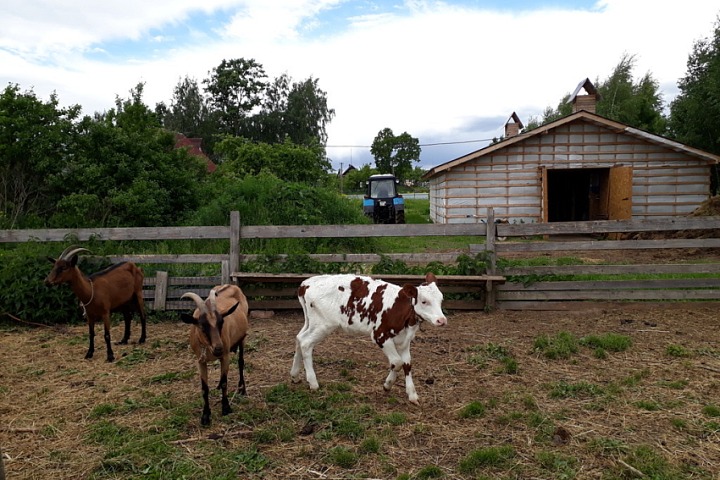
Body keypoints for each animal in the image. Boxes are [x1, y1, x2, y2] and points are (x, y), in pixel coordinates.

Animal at [180, 284, 250, 426]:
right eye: (202, 326)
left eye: (221, 322)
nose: (218, 348)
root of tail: (232, 285)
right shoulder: (200, 361)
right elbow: (204, 388)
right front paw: (205, 415)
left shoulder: (225, 356)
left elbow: (224, 382)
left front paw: (226, 407)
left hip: (242, 338)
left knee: (241, 362)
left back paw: (242, 389)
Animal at [292, 272, 444, 404]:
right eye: (424, 301)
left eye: (441, 299)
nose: (442, 320)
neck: (401, 310)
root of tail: (305, 284)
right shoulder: (379, 335)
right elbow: (397, 362)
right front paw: (387, 385)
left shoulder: (404, 340)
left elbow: (407, 364)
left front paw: (412, 395)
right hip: (323, 324)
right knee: (305, 343)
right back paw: (313, 383)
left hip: (311, 322)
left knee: (299, 338)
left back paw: (294, 375)